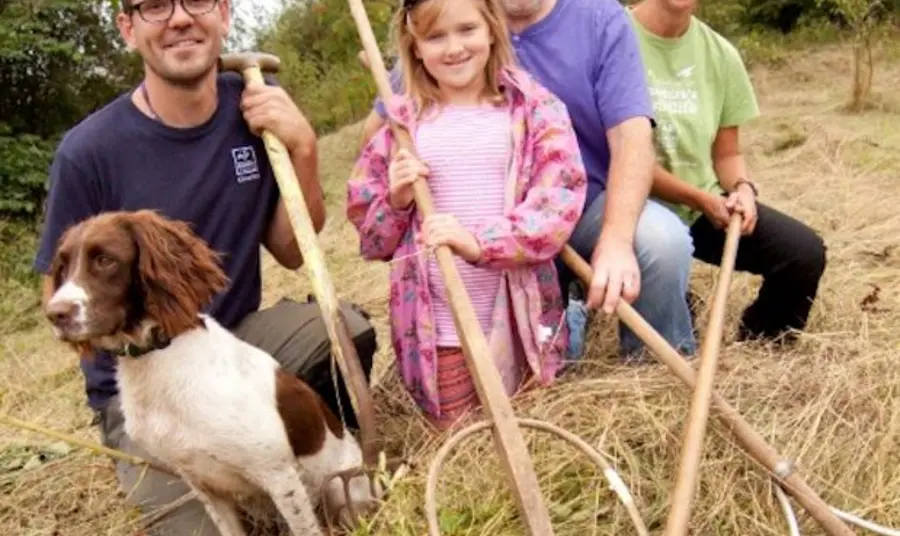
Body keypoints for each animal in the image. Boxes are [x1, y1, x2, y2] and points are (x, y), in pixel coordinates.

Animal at [42, 209, 378, 536]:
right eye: (63, 265)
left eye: (105, 260)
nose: (54, 314)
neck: (158, 358)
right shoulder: (201, 483)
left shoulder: (278, 474)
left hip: (342, 492)